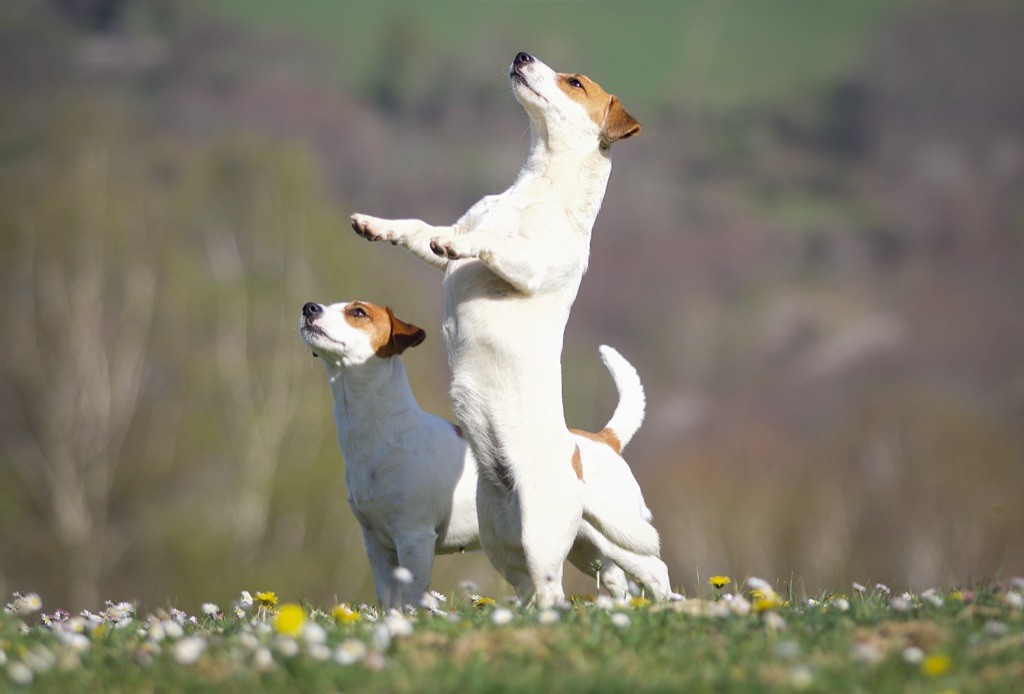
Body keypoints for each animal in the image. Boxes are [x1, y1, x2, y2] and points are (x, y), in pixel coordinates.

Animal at [299, 298, 671, 610]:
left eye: (358, 312)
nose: (309, 307)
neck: (381, 432)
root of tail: (604, 440)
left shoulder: (414, 536)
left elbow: (413, 595)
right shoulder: (376, 543)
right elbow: (389, 598)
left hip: (616, 536)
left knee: (656, 570)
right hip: (582, 544)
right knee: (614, 578)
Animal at [352, 51, 655, 605]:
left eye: (574, 82)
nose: (522, 55)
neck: (536, 189)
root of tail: (585, 451)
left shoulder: (528, 265)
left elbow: (490, 243)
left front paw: (465, 246)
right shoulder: (446, 236)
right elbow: (419, 230)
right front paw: (375, 225)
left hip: (543, 540)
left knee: (557, 590)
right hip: (499, 540)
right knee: (528, 585)